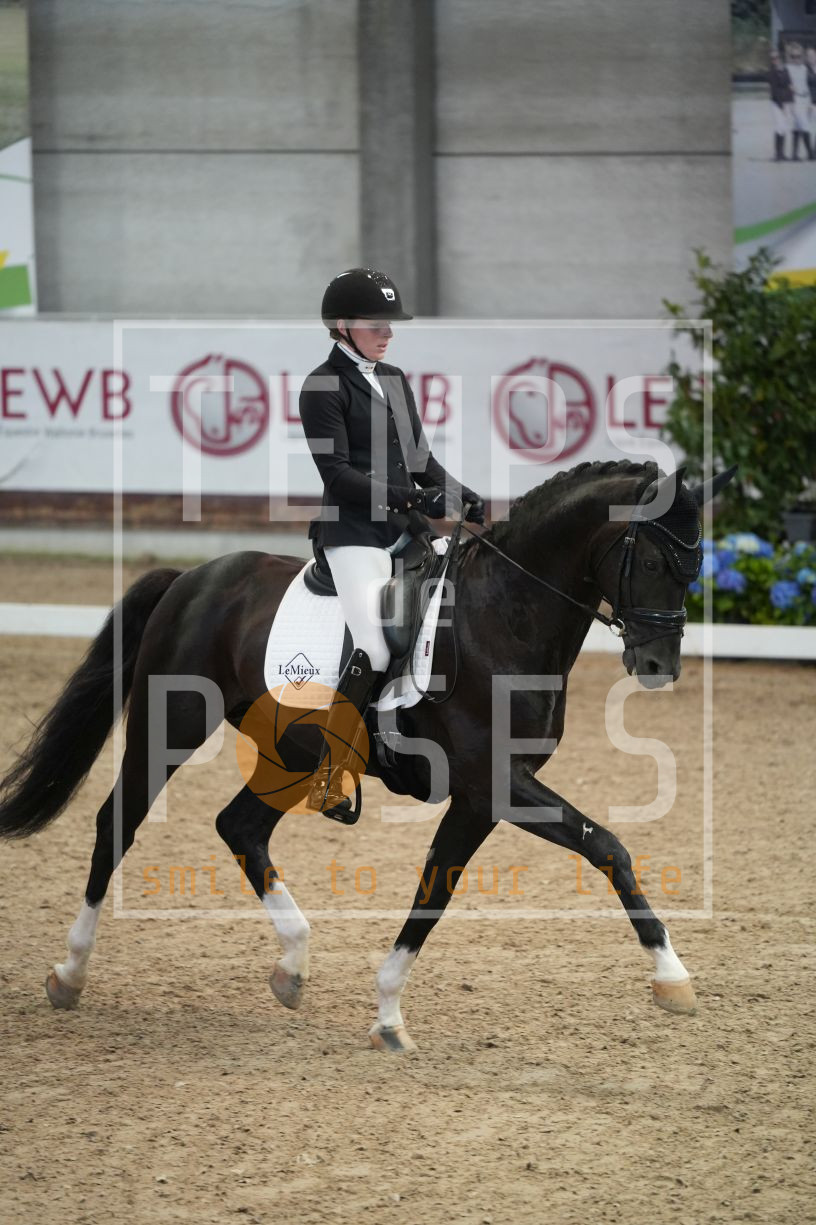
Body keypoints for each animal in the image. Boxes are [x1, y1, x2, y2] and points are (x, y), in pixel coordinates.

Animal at [0, 459, 734, 1052]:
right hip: (169, 725)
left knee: (239, 827)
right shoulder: (494, 783)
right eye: (655, 562)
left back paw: (293, 966)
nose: (658, 667)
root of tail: (193, 578)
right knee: (117, 822)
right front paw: (673, 977)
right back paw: (69, 974)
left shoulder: (482, 797)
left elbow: (436, 890)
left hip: (290, 754)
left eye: (696, 566)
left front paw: (387, 1015)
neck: (506, 614)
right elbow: (607, 845)